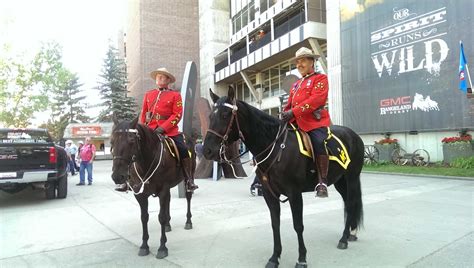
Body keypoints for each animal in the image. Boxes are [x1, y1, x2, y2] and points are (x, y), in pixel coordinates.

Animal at [110, 116, 193, 260]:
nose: (117, 176)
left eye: (131, 141)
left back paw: (188, 221)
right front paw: (144, 246)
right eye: (112, 141)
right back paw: (168, 226)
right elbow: (144, 217)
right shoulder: (140, 194)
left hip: (189, 178)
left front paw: (162, 247)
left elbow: (161, 217)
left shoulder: (163, 190)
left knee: (188, 196)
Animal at [203, 87, 362, 266]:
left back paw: (344, 239)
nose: (207, 150)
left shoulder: (295, 194)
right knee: (348, 203)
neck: (277, 147)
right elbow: (275, 224)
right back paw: (350, 233)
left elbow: (298, 225)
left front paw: (302, 258)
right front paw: (275, 257)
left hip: (352, 178)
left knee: (351, 203)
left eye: (225, 115)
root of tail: (354, 135)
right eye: (210, 116)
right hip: (340, 181)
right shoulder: (269, 194)